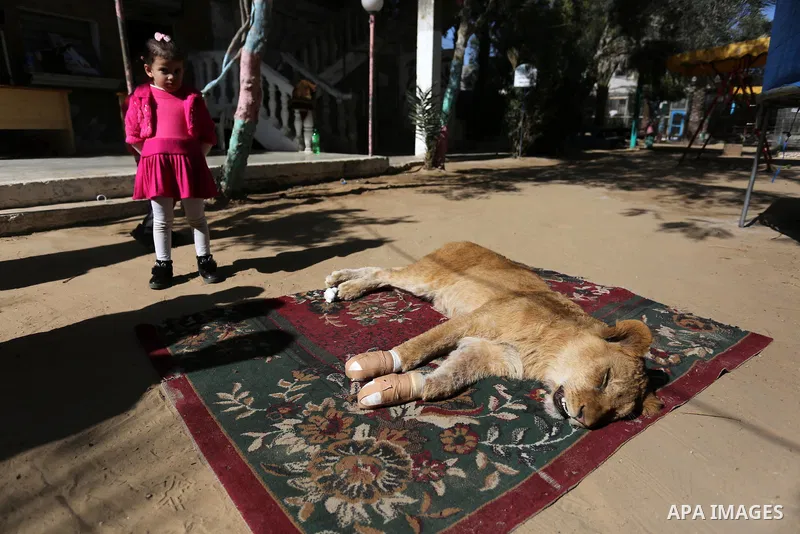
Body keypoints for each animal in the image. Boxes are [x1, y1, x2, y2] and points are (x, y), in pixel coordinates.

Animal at [325, 241, 664, 429]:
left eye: (615, 415)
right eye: (605, 378)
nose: (584, 420)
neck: (546, 355)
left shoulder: (485, 354)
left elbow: (444, 381)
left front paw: (390, 389)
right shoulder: (472, 320)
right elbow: (418, 347)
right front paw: (375, 362)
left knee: (385, 272)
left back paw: (339, 286)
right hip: (424, 279)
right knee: (385, 272)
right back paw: (343, 283)